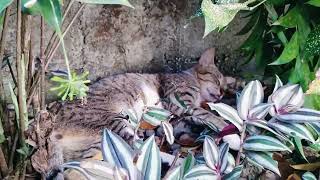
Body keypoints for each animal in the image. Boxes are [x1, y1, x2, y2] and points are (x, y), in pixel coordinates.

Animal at [28, 47, 242, 176]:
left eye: (224, 87)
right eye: (217, 80)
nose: (221, 94)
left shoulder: (181, 113)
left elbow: (202, 116)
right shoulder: (179, 103)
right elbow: (210, 114)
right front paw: (234, 135)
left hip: (99, 144)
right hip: (117, 124)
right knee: (139, 151)